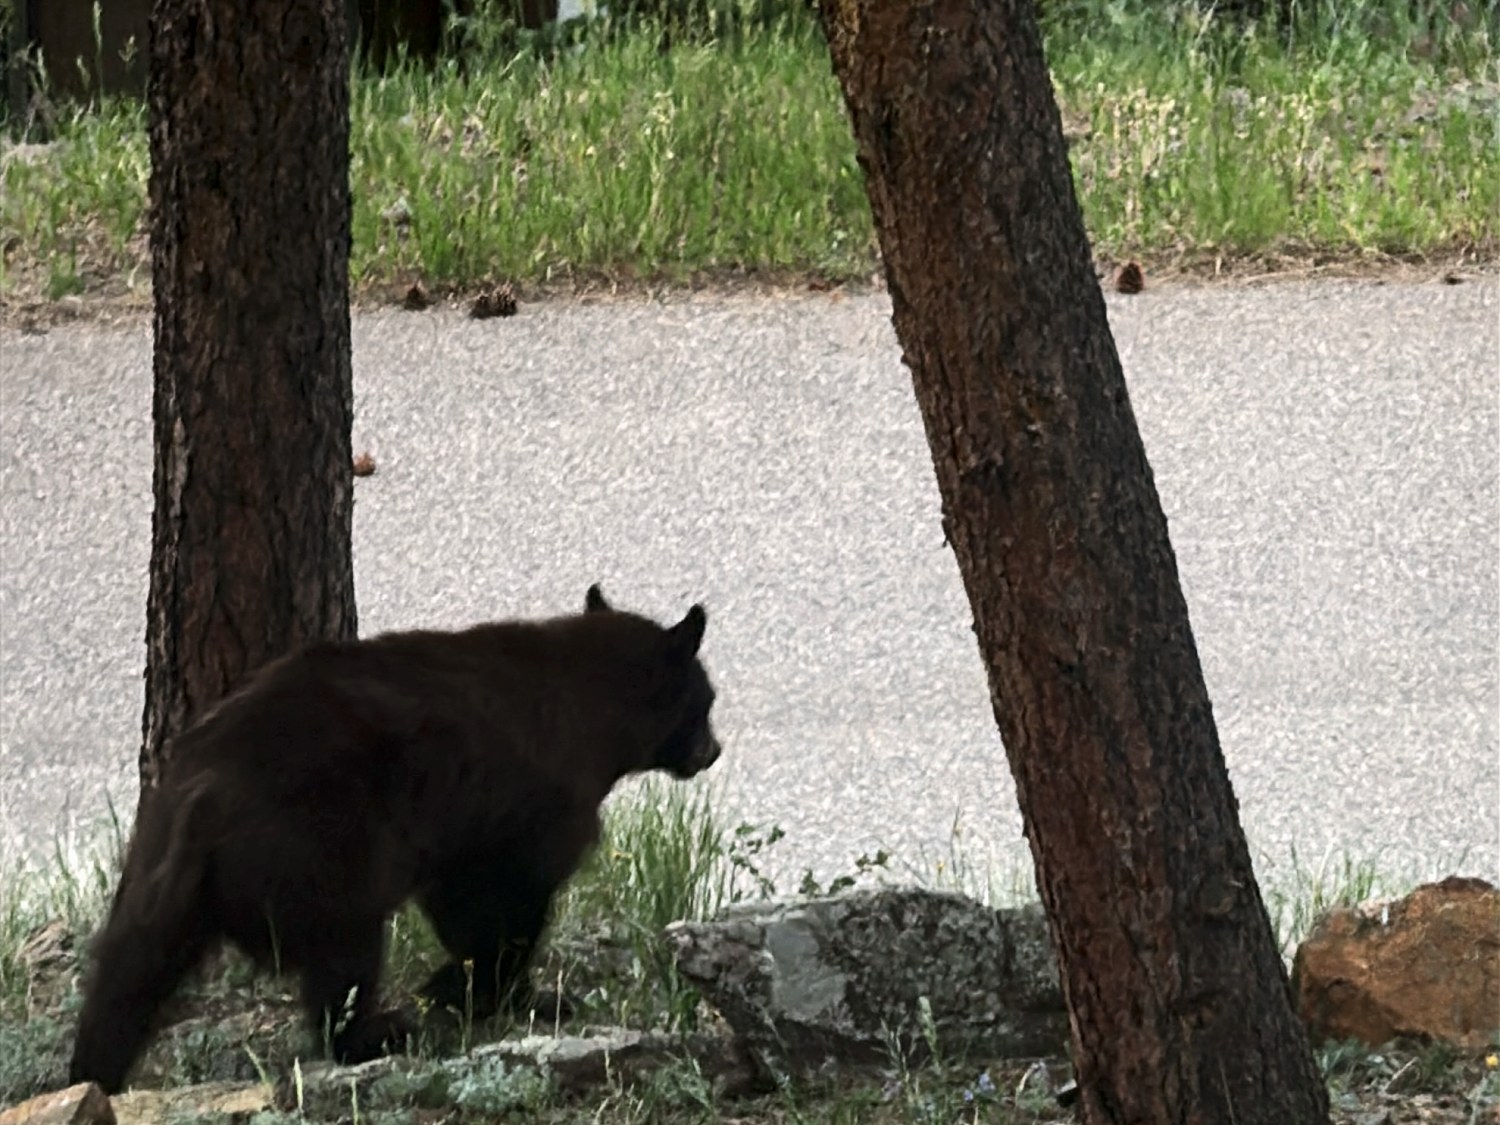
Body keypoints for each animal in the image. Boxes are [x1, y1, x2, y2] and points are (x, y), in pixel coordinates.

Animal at [68, 585, 722, 1094]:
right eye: (708, 699)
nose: (714, 751)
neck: (596, 704)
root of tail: (205, 791)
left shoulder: (459, 831)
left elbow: (462, 898)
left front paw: (472, 989)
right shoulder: (537, 801)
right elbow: (509, 897)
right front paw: (506, 994)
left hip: (157, 869)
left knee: (126, 976)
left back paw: (90, 1074)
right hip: (323, 844)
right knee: (345, 950)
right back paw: (375, 1034)